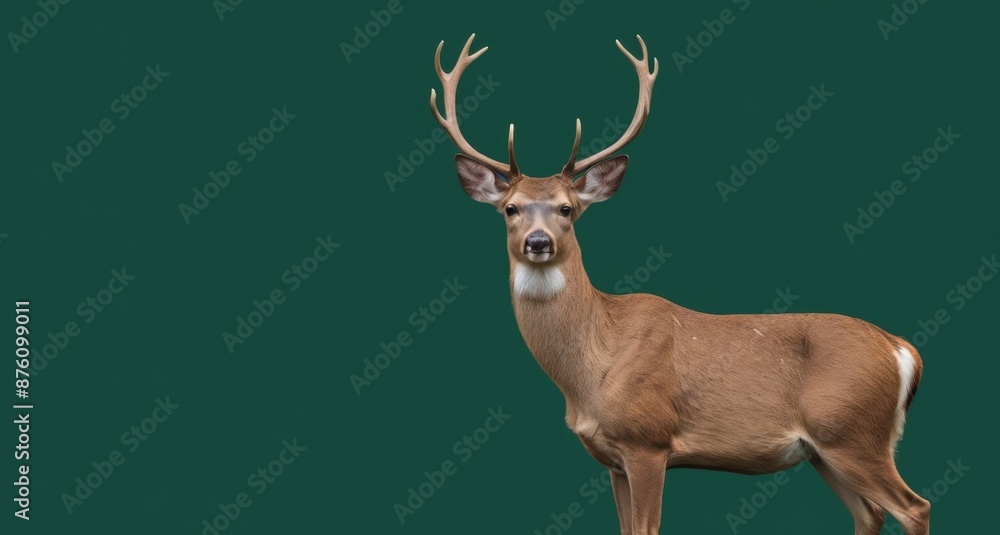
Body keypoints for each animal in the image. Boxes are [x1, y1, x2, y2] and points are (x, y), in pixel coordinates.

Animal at [430, 34, 930, 535]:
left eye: (567, 209)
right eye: (511, 208)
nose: (538, 241)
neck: (590, 369)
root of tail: (902, 350)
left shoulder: (647, 439)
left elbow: (646, 528)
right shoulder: (613, 460)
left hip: (852, 433)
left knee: (914, 506)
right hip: (826, 449)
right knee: (871, 512)